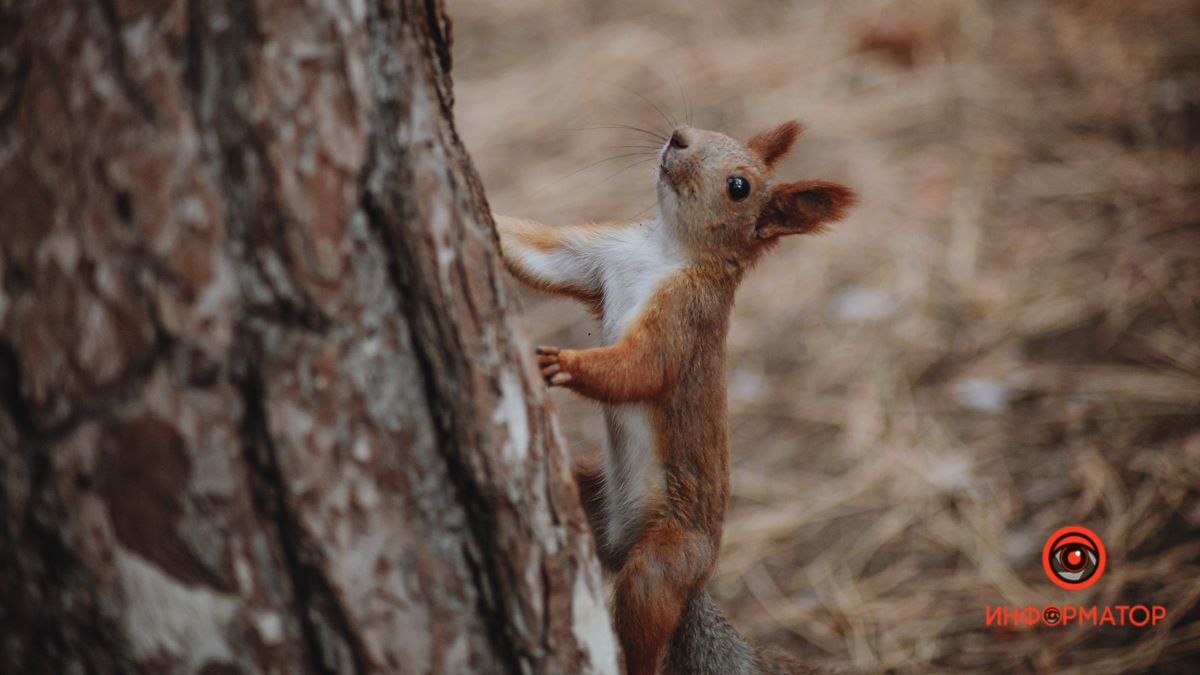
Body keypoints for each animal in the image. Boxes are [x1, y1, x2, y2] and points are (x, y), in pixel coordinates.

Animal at [494, 120, 854, 672]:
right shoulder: (602, 255)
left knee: (645, 609)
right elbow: (540, 253)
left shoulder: (685, 317)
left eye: (738, 187)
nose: (680, 136)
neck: (665, 250)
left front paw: (566, 363)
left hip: (668, 557)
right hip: (589, 497)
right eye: (713, 129)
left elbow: (642, 367)